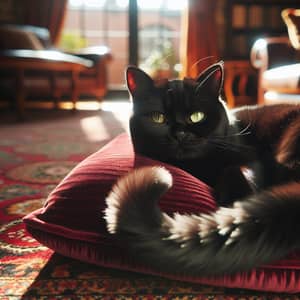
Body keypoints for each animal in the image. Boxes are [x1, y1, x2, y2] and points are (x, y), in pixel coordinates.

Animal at [104, 62, 300, 276]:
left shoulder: (252, 159)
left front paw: (239, 202)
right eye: (158, 118)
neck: (197, 166)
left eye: (196, 117)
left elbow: (233, 170)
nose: (180, 134)